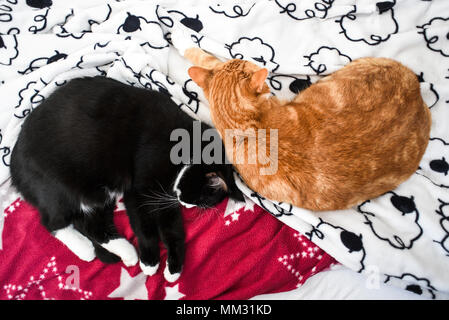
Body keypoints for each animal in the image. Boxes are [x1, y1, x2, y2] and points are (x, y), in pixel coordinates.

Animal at [9, 77, 242, 282]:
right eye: (195, 196)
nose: (184, 202)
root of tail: (14, 163)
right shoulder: (138, 191)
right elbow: (145, 227)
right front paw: (150, 261)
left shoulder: (164, 198)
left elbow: (173, 231)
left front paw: (174, 268)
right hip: (60, 187)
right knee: (53, 221)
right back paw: (88, 249)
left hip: (98, 194)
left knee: (91, 223)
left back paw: (123, 252)